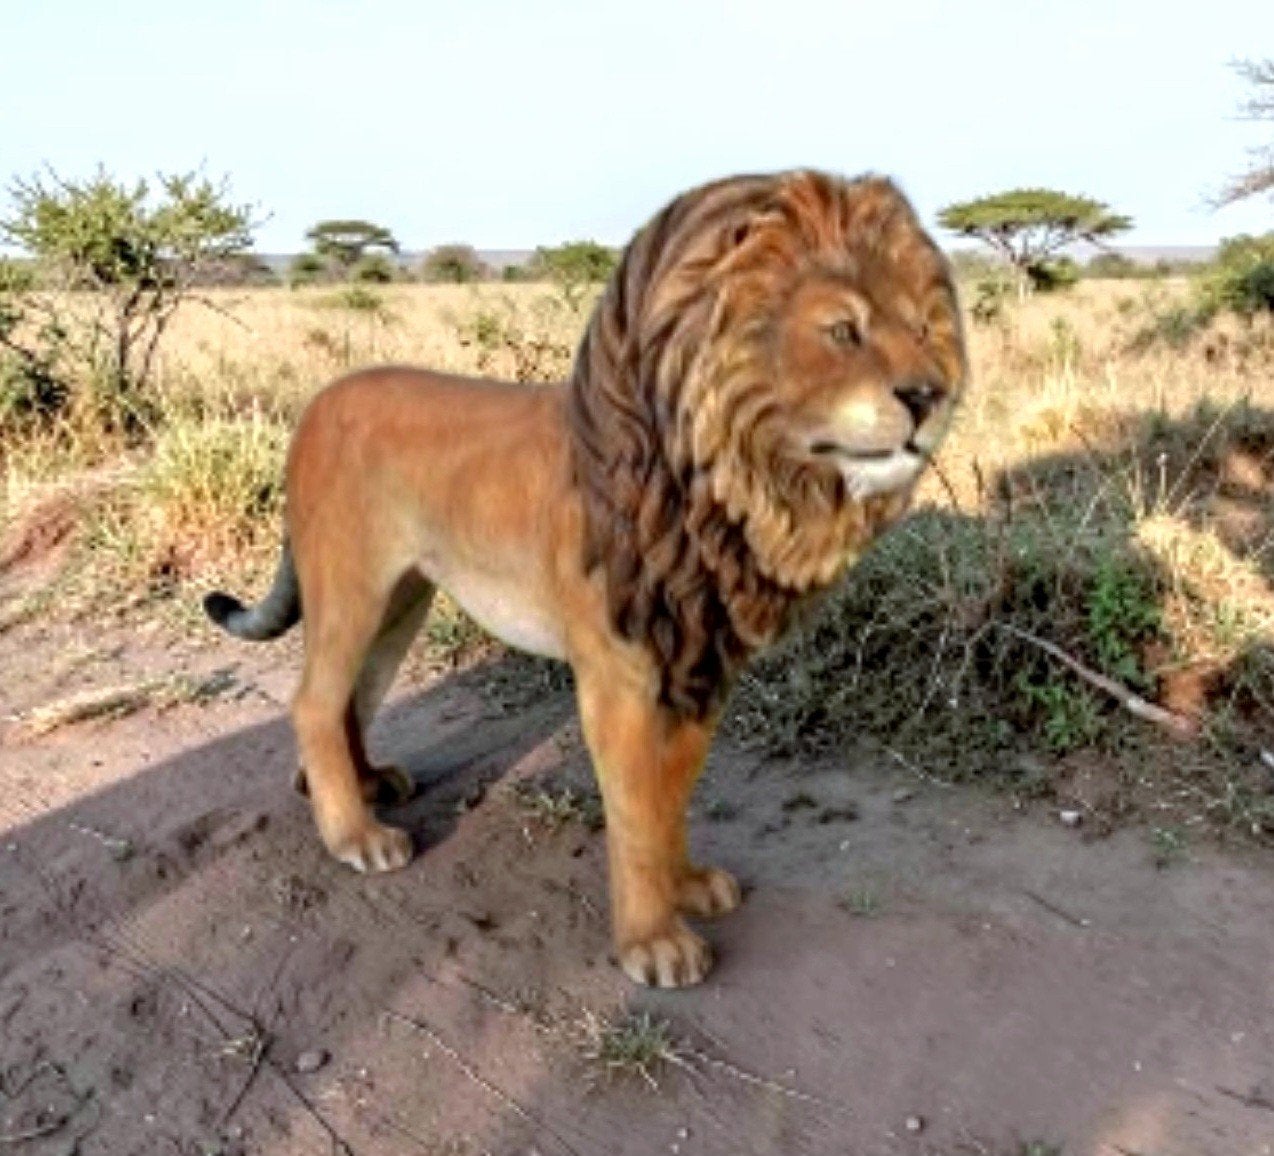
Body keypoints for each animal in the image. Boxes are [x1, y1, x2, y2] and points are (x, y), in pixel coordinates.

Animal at [205, 169, 967, 987]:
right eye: (843, 331)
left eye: (925, 328)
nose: (929, 395)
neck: (727, 487)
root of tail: (316, 404)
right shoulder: (620, 676)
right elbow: (634, 806)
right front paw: (654, 945)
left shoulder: (699, 668)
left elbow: (671, 795)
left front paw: (686, 886)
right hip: (352, 583)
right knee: (315, 699)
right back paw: (357, 837)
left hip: (402, 601)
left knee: (352, 695)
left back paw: (365, 785)